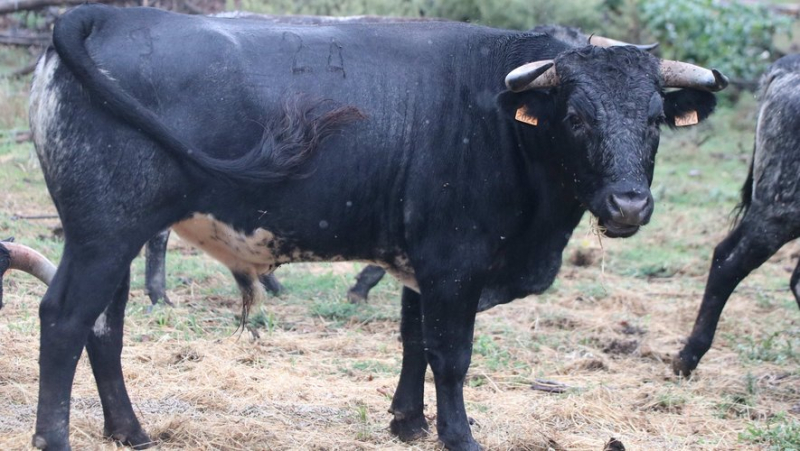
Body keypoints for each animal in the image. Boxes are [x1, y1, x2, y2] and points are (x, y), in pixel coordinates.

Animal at [26, 4, 724, 451]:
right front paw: (459, 436)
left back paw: (130, 432)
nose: (629, 204)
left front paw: (408, 424)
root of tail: (103, 15)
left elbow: (414, 341)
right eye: (576, 117)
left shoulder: (423, 265)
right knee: (65, 319)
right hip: (103, 234)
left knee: (104, 327)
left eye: (656, 118)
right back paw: (55, 438)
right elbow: (451, 355)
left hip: (112, 238)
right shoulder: (454, 263)